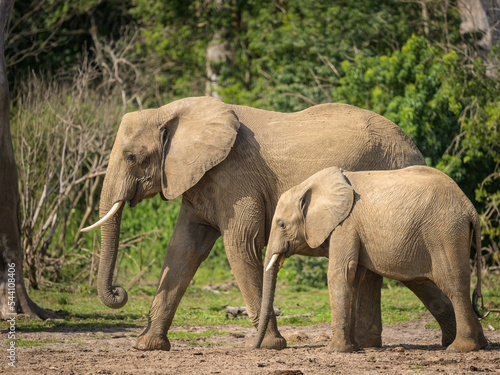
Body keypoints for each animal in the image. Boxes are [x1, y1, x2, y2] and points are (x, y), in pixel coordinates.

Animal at [82, 95, 458, 352]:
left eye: (132, 157)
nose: (119, 292)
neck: (174, 112)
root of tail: (415, 147)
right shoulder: (200, 180)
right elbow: (184, 250)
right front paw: (146, 346)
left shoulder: (237, 177)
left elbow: (240, 245)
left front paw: (269, 346)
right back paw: (392, 343)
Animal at [252, 166, 486, 354]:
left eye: (281, 224)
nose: (253, 347)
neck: (310, 185)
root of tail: (470, 208)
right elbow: (354, 279)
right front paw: (353, 348)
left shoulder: (345, 225)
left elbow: (340, 274)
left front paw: (334, 351)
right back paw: (481, 345)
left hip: (445, 234)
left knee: (455, 286)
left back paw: (459, 348)